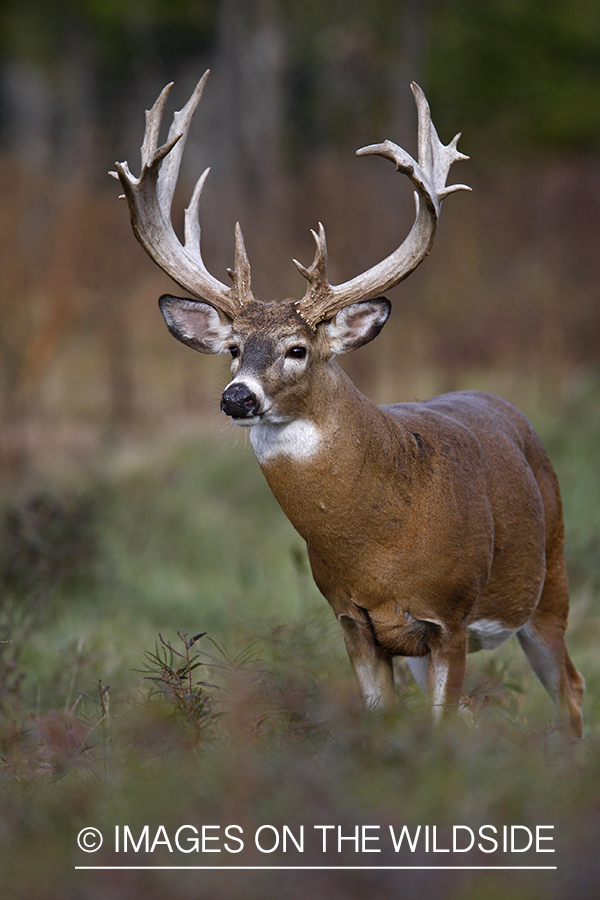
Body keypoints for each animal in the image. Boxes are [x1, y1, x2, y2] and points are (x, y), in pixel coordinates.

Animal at [111, 68, 580, 732]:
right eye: (233, 348)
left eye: (298, 349)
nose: (237, 397)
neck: (378, 540)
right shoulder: (352, 619)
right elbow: (383, 720)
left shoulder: (451, 617)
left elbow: (442, 727)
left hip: (550, 581)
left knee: (572, 688)